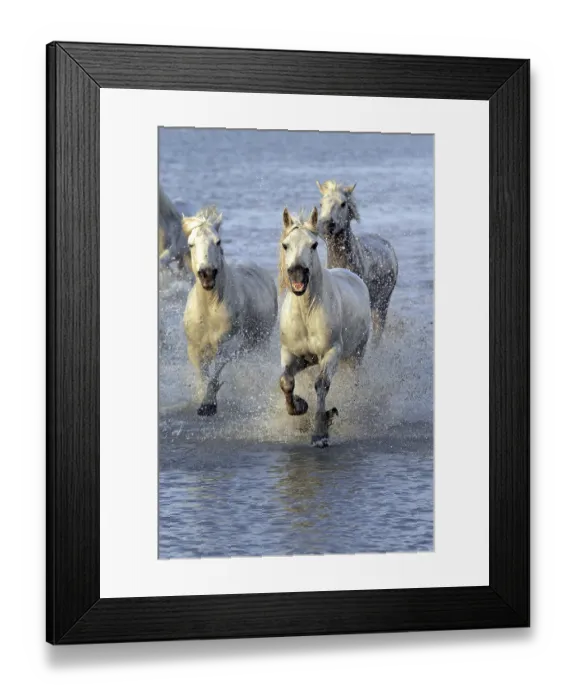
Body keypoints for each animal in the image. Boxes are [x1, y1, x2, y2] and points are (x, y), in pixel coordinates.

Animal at [183, 206, 278, 416]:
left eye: (218, 241)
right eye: (191, 244)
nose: (207, 274)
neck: (209, 309)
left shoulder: (228, 344)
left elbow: (216, 372)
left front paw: (208, 405)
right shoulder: (194, 348)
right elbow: (202, 374)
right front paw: (202, 399)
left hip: (261, 342)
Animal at [279, 206, 372, 447]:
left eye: (313, 245)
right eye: (286, 245)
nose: (297, 274)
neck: (306, 313)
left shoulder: (331, 352)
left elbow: (321, 385)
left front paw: (320, 432)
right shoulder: (291, 353)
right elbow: (286, 381)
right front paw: (299, 406)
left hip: (356, 355)